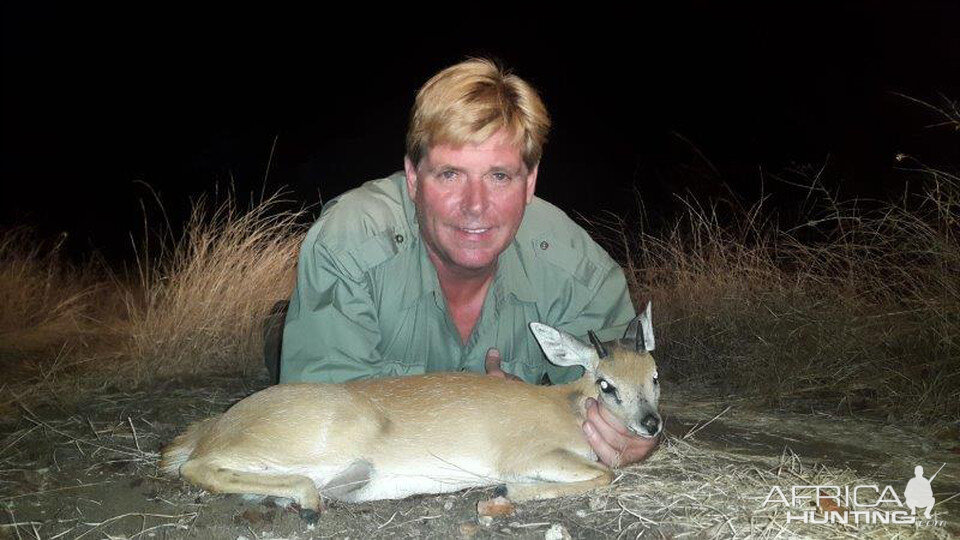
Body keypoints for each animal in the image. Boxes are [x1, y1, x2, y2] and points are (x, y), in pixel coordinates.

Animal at [161, 302, 664, 516]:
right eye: (606, 384)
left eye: (655, 375)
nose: (651, 424)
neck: (568, 408)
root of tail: (213, 424)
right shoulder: (527, 454)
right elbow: (605, 474)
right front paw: (506, 494)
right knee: (199, 466)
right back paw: (309, 503)